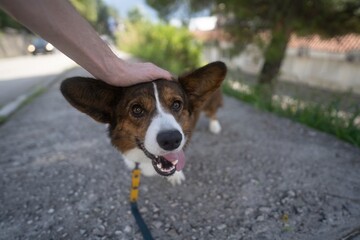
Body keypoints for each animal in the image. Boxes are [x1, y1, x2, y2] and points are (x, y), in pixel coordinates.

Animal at [60, 61, 226, 185]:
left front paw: (176, 175)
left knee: (213, 112)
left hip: (211, 104)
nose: (172, 139)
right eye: (137, 109)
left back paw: (215, 125)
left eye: (177, 104)